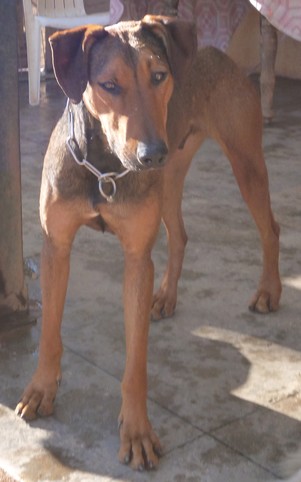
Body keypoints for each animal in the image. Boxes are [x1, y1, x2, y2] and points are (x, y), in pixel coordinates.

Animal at [14, 16, 282, 470]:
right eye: (108, 84)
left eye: (158, 76)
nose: (151, 154)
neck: (103, 168)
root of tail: (217, 52)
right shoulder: (56, 247)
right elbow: (49, 333)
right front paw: (41, 390)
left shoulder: (137, 258)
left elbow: (135, 363)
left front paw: (136, 431)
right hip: (171, 178)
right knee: (180, 234)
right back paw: (167, 296)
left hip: (242, 161)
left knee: (271, 230)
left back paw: (269, 291)